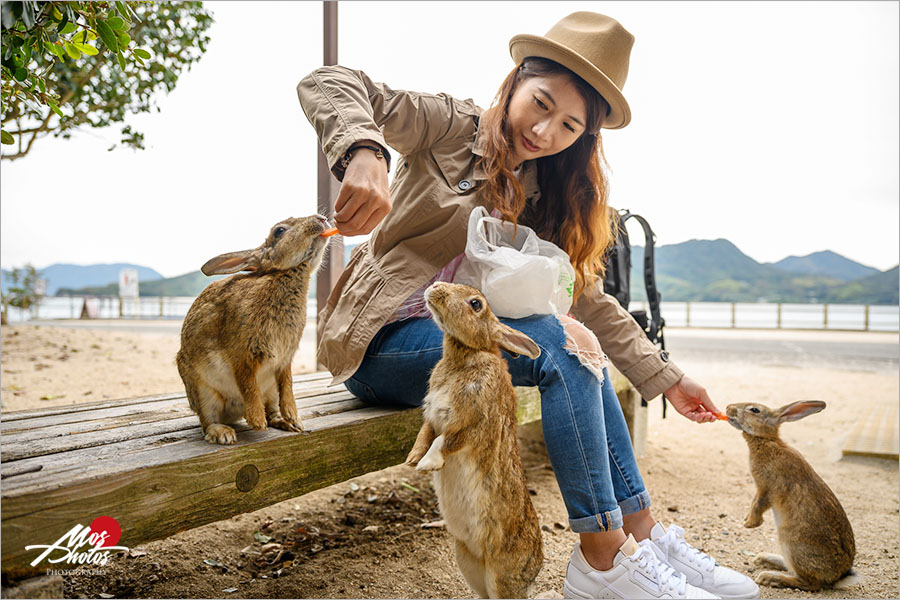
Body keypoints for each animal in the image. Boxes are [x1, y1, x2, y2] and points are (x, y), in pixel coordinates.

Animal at [176, 216, 330, 446]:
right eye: (279, 231)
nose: (322, 219)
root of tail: (231, 415)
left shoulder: (284, 360)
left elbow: (288, 384)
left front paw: (293, 416)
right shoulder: (243, 356)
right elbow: (248, 385)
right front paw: (257, 421)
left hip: (270, 391)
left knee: (272, 410)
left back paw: (288, 423)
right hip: (203, 391)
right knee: (207, 420)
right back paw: (223, 434)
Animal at [724, 400, 856, 592]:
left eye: (754, 410)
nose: (728, 408)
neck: (766, 441)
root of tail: (838, 576)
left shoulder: (768, 488)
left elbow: (758, 504)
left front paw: (750, 524)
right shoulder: (761, 488)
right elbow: (754, 502)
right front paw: (747, 520)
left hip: (791, 542)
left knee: (810, 583)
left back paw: (769, 578)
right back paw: (764, 559)